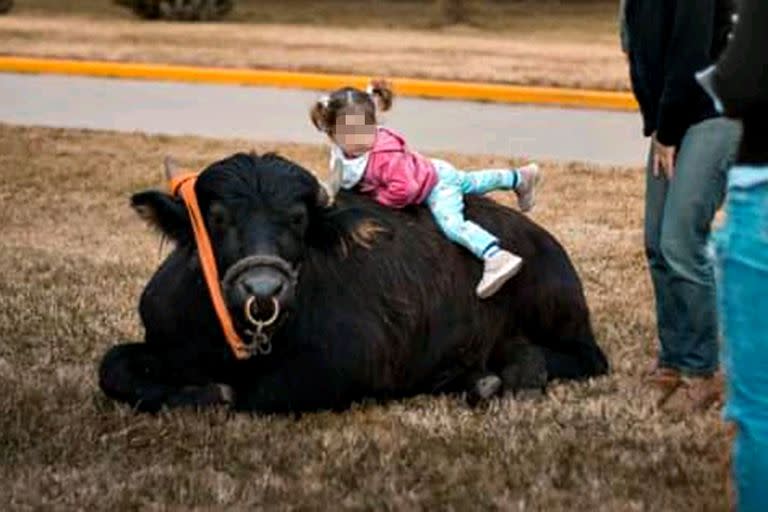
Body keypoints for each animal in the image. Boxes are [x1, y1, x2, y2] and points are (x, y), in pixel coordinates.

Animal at [99, 151, 608, 412]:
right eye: (218, 217)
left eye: (298, 219)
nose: (263, 290)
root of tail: (542, 240)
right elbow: (113, 367)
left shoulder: (336, 368)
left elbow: (253, 396)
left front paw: (210, 392)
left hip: (562, 316)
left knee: (583, 357)